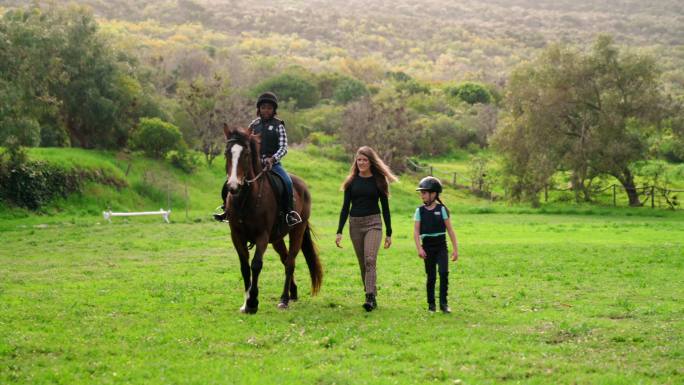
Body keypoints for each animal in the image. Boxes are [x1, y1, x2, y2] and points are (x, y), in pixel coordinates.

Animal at [222, 123, 324, 312]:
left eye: (246, 154)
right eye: (227, 153)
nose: (233, 186)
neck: (246, 200)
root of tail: (302, 185)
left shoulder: (262, 236)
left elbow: (256, 265)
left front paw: (253, 302)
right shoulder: (237, 236)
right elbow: (244, 267)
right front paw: (246, 303)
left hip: (297, 231)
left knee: (290, 262)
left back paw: (284, 299)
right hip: (277, 239)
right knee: (285, 259)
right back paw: (293, 293)